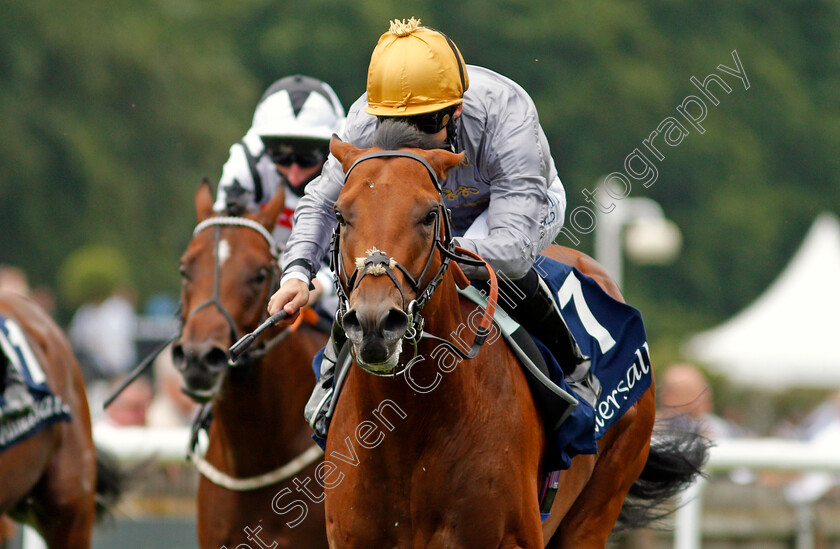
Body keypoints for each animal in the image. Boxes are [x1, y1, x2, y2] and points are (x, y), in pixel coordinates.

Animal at [324, 126, 704, 544]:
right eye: (340, 214)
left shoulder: (510, 536)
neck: (408, 428)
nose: (375, 323)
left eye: (429, 214)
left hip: (603, 496)